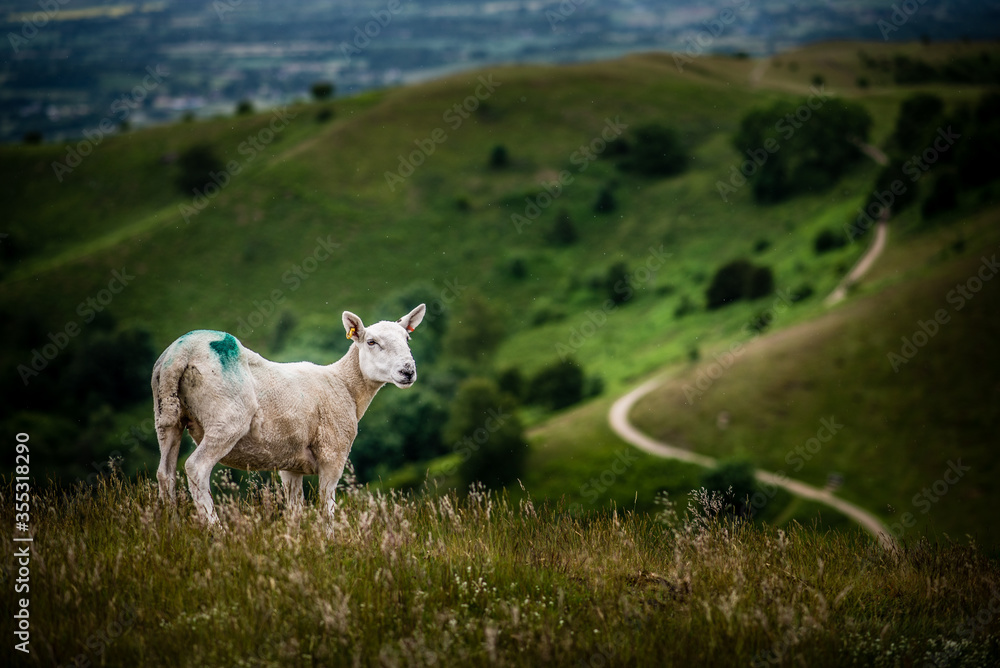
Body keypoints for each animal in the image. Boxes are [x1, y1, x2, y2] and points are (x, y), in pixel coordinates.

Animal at [150, 304, 426, 523]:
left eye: (408, 339)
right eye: (371, 342)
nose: (408, 371)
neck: (344, 384)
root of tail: (180, 353)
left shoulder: (291, 465)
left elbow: (295, 509)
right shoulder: (332, 454)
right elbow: (327, 508)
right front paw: (330, 541)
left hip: (166, 417)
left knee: (165, 474)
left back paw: (172, 527)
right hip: (226, 419)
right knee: (196, 468)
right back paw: (215, 529)